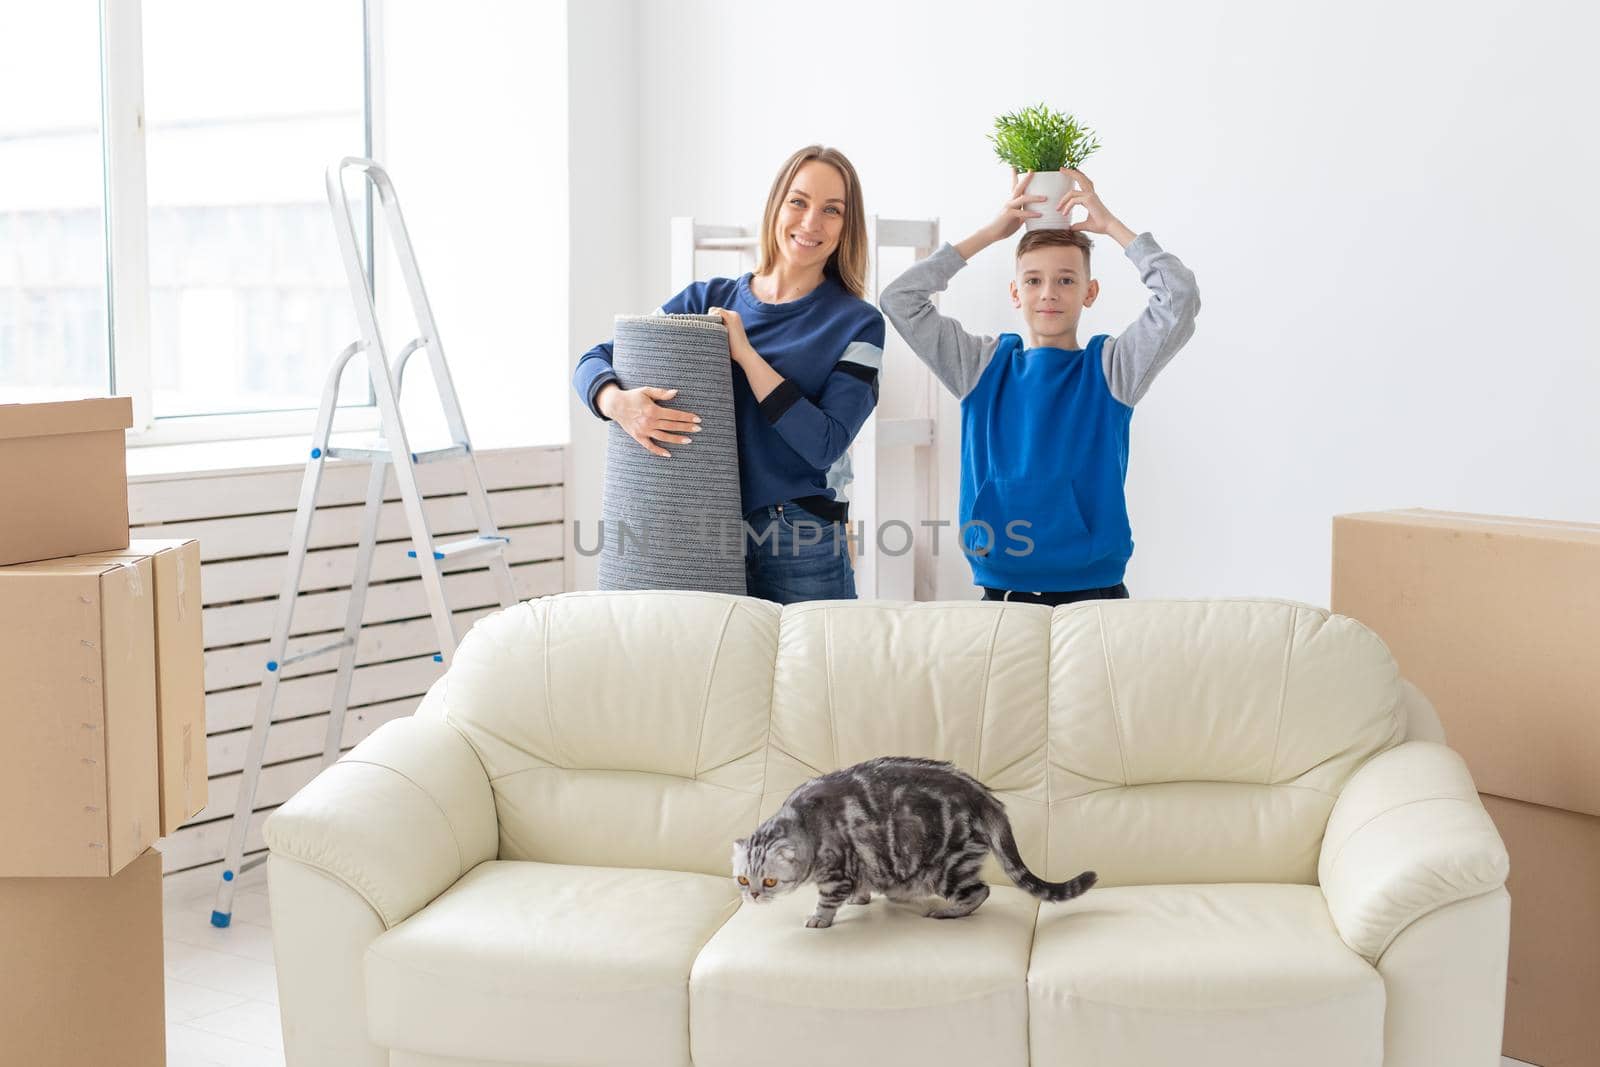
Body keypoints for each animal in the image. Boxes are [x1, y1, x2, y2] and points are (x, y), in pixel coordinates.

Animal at [729, 758, 1094, 927]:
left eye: (770, 881)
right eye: (743, 880)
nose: (754, 895)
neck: (805, 822)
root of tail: (985, 797)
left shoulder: (836, 871)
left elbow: (827, 900)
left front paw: (820, 919)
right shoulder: (862, 865)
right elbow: (861, 885)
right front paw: (859, 899)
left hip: (946, 868)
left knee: (980, 891)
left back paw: (946, 912)